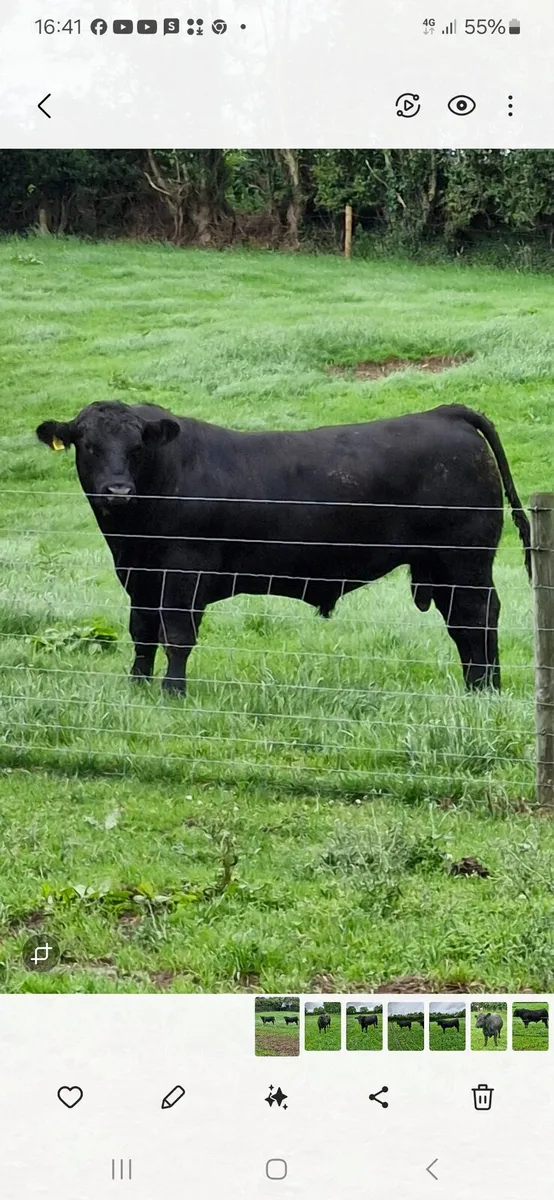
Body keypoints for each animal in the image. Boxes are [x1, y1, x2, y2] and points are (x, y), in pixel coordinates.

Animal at [36, 401, 530, 695]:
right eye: (89, 445)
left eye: (137, 446)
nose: (117, 490)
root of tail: (444, 412)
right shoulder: (139, 576)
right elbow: (142, 632)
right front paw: (137, 686)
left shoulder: (183, 573)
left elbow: (176, 635)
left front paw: (173, 692)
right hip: (441, 566)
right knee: (463, 624)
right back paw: (477, 687)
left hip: (464, 559)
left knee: (478, 617)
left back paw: (486, 689)